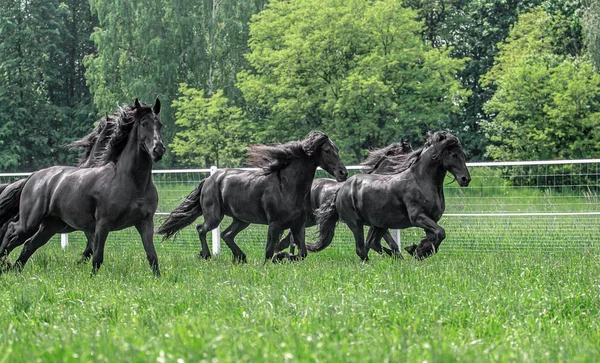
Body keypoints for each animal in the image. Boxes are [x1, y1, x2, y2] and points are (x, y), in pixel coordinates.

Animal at [0, 99, 164, 276]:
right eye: (144, 123)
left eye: (160, 124)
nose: (158, 149)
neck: (131, 182)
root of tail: (33, 176)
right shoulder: (101, 224)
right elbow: (97, 256)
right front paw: (92, 278)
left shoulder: (145, 222)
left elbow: (152, 256)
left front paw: (157, 279)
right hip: (30, 222)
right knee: (11, 231)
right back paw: (5, 264)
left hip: (50, 226)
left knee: (28, 246)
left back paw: (14, 269)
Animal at [157, 132, 350, 264]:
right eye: (327, 150)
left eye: (337, 149)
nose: (343, 173)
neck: (287, 186)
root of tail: (208, 179)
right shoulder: (274, 224)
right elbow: (269, 252)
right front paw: (277, 258)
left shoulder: (298, 225)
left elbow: (301, 253)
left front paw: (283, 256)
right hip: (214, 217)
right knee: (201, 229)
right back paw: (206, 255)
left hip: (242, 220)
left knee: (227, 234)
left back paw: (241, 257)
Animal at [276, 141, 412, 258]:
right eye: (409, 151)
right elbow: (379, 243)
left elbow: (375, 244)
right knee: (291, 238)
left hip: (310, 220)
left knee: (291, 238)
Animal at [312, 134, 472, 262]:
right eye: (454, 155)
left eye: (463, 155)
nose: (465, 179)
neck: (421, 180)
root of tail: (341, 188)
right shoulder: (418, 217)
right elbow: (440, 233)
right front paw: (416, 251)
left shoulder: (431, 219)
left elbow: (436, 237)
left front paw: (417, 250)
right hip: (355, 223)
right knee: (362, 249)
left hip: (379, 225)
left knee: (371, 243)